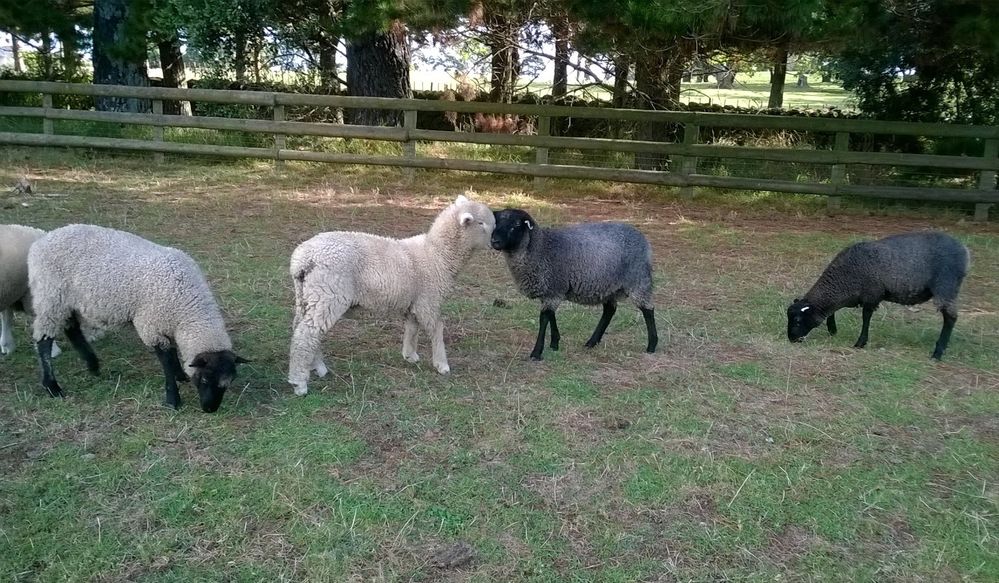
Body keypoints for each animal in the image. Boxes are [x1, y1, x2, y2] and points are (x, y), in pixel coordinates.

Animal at [28, 225, 248, 416]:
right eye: (204, 379)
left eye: (228, 383)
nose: (210, 409)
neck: (187, 305)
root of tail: (42, 240)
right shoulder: (152, 326)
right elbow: (166, 361)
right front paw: (172, 400)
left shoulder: (165, 323)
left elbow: (173, 354)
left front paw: (180, 375)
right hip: (51, 295)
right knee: (44, 339)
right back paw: (52, 386)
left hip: (69, 300)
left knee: (72, 329)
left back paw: (93, 365)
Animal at [288, 194, 494, 394]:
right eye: (481, 223)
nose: (495, 243)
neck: (438, 255)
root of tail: (303, 258)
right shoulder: (428, 300)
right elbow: (436, 328)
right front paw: (442, 365)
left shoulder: (415, 301)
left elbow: (412, 326)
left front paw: (410, 355)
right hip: (329, 293)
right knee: (306, 335)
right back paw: (300, 383)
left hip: (307, 295)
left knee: (301, 328)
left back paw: (317, 367)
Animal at [490, 205, 660, 360]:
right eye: (495, 223)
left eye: (515, 225)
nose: (494, 241)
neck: (541, 247)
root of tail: (643, 240)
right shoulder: (553, 289)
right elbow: (551, 316)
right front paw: (554, 343)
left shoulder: (554, 288)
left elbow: (544, 319)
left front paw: (537, 352)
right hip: (608, 285)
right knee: (609, 310)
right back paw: (592, 342)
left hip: (638, 280)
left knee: (648, 310)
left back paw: (652, 345)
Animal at [788, 229, 968, 358]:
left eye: (797, 321)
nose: (791, 339)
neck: (845, 277)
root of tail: (965, 251)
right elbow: (832, 311)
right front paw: (833, 330)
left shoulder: (871, 294)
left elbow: (866, 317)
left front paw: (860, 342)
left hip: (946, 285)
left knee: (950, 318)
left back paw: (938, 352)